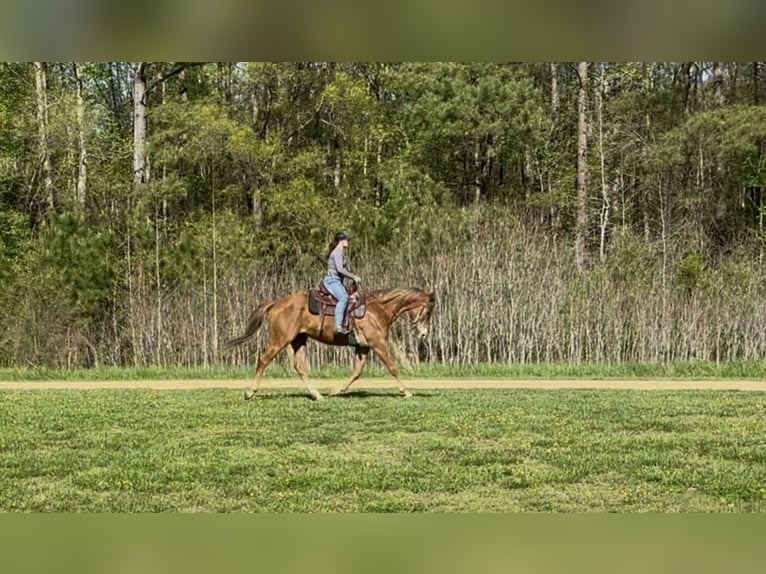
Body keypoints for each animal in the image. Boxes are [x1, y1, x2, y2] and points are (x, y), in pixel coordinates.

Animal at [225, 286, 435, 400]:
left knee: (300, 367)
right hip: (280, 340)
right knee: (263, 360)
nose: (424, 334)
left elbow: (357, 372)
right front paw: (406, 391)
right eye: (428, 312)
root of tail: (277, 303)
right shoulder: (378, 344)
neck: (378, 309)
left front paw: (335, 391)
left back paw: (317, 394)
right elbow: (392, 367)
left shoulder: (363, 347)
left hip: (298, 340)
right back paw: (250, 392)